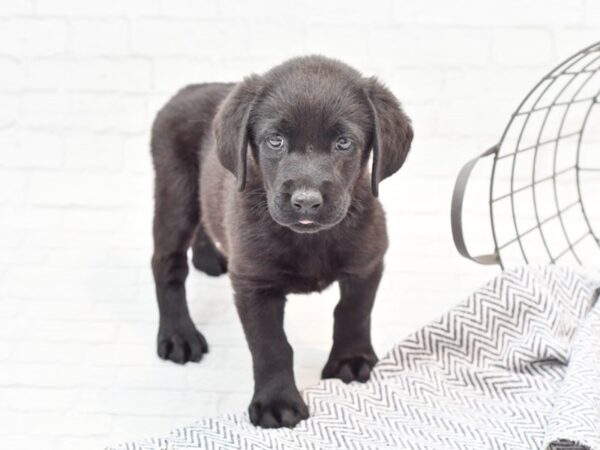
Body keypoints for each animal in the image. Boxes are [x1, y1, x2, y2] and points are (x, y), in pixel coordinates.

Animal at [150, 55, 412, 428]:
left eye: (344, 143)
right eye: (275, 141)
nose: (306, 202)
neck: (309, 238)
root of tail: (190, 89)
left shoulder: (367, 262)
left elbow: (353, 312)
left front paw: (350, 359)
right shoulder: (253, 283)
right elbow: (271, 345)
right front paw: (277, 402)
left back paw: (209, 259)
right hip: (176, 195)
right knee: (167, 266)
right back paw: (178, 335)